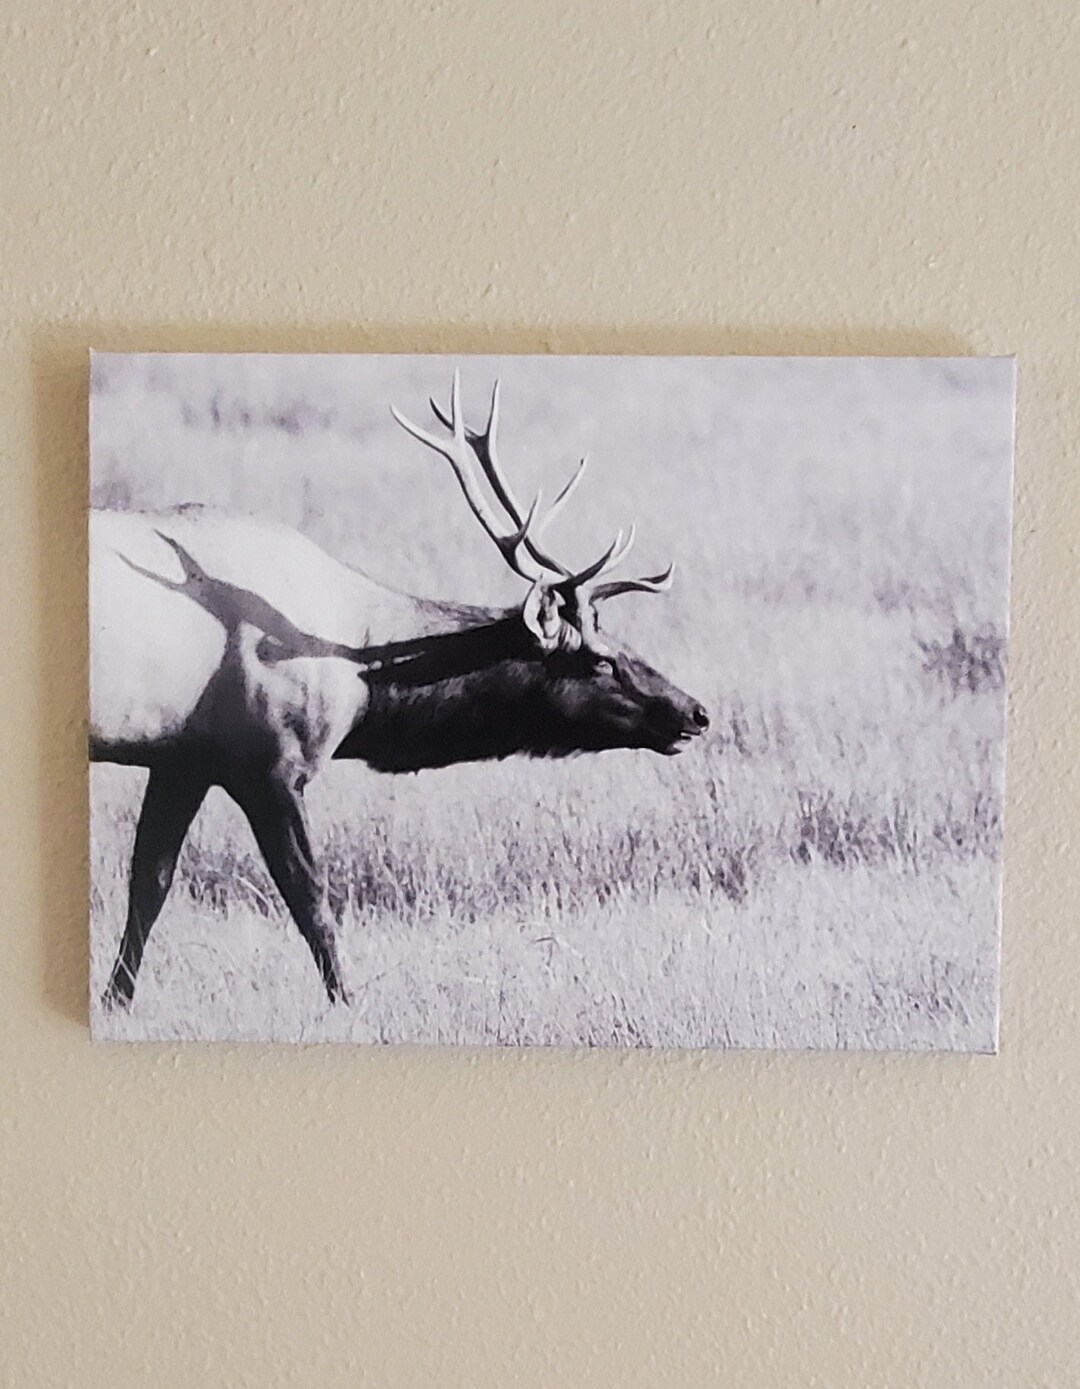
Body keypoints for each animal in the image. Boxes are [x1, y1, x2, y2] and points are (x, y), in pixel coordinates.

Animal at [90, 372, 710, 1010]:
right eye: (602, 661)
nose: (696, 712)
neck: (359, 681)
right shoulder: (269, 762)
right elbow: (311, 897)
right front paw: (347, 1000)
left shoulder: (183, 758)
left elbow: (149, 884)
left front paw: (117, 1000)